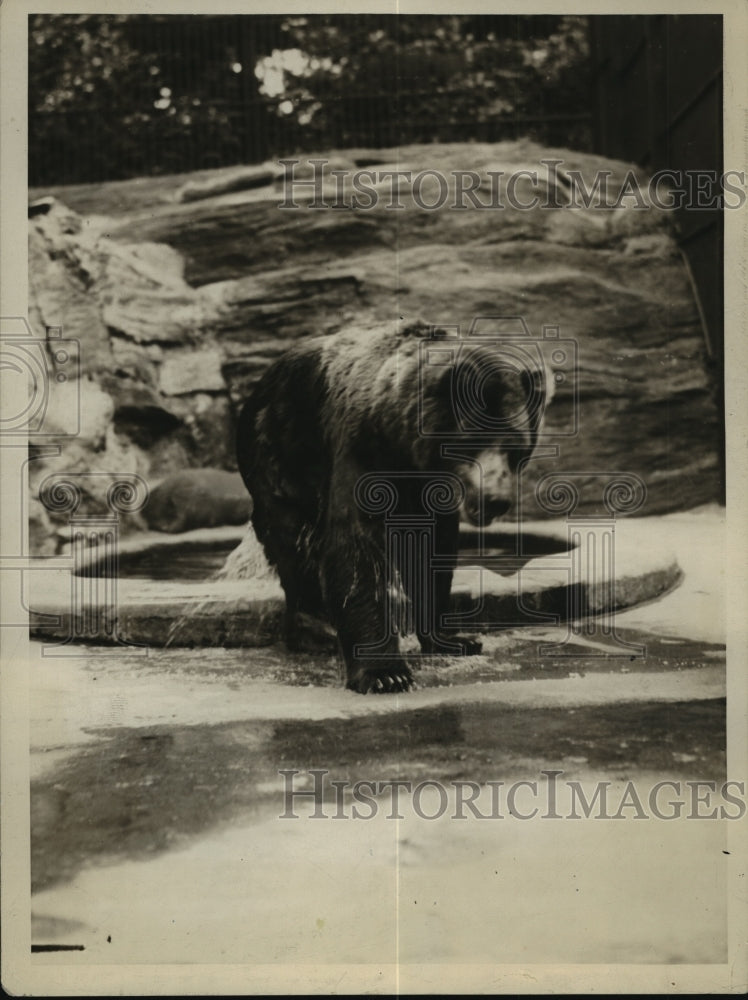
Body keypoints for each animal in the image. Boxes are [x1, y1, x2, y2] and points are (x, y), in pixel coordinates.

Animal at [238, 322, 548, 696]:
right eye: (473, 440)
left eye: (516, 447)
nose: (496, 498)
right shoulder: (359, 448)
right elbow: (355, 547)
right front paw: (386, 673)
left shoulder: (429, 493)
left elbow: (432, 553)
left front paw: (455, 639)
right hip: (279, 456)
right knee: (292, 543)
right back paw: (316, 629)